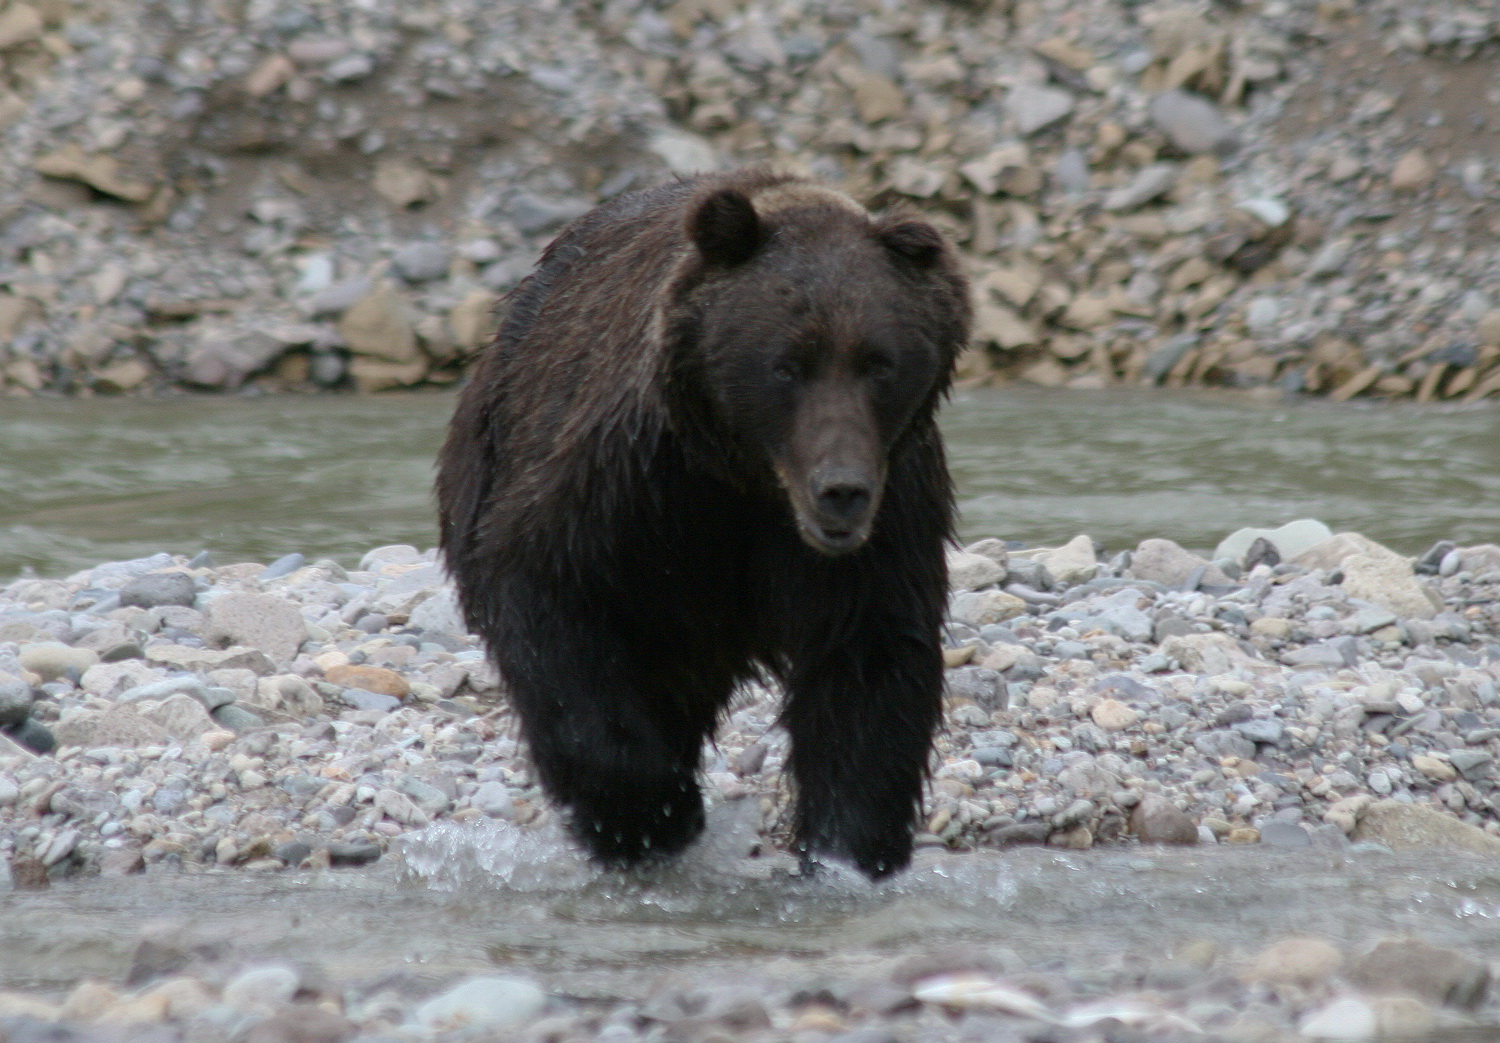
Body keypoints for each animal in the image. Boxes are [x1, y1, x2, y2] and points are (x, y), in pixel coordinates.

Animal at [436, 169, 971, 879]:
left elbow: (869, 666)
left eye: (879, 362)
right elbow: (552, 602)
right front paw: (648, 815)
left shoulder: (888, 510)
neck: (744, 478)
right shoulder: (624, 485)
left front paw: (847, 850)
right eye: (788, 363)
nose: (841, 492)